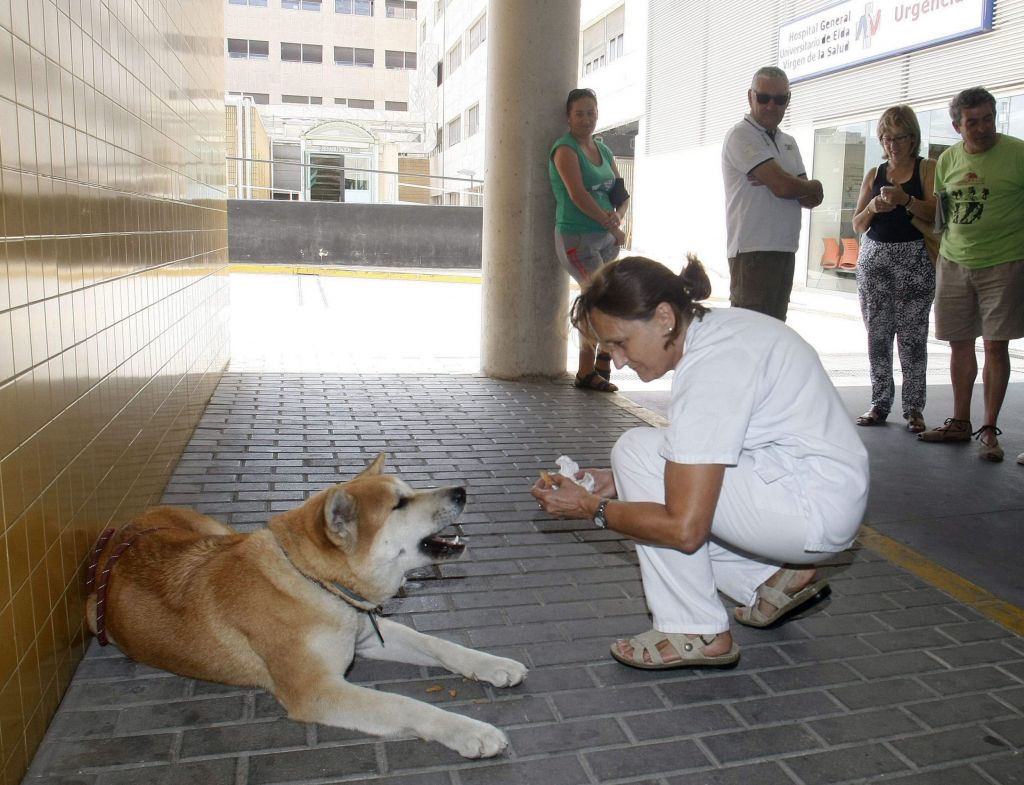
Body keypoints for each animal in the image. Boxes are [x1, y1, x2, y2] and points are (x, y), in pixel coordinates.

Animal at [86, 458, 528, 757]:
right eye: (399, 504)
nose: (461, 491)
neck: (315, 583)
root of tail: (122, 532)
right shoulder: (318, 690)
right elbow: (407, 704)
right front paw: (468, 730)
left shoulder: (367, 635)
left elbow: (441, 645)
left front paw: (493, 665)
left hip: (219, 532)